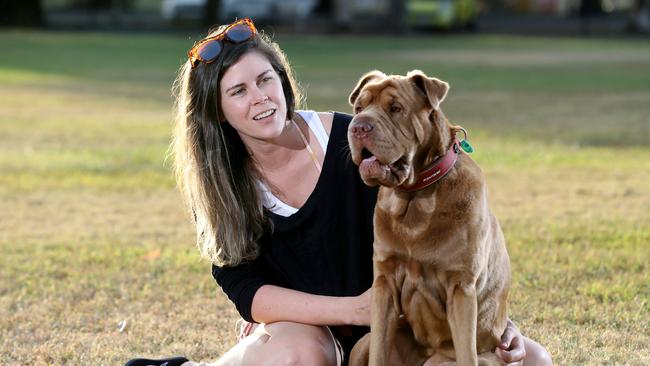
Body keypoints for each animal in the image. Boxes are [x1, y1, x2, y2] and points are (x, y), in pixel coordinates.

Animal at [346, 69, 508, 366]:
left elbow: (467, 352)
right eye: (359, 109)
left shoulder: (461, 288)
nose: (358, 127)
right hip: (365, 342)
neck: (415, 198)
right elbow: (379, 349)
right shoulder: (384, 284)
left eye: (396, 108)